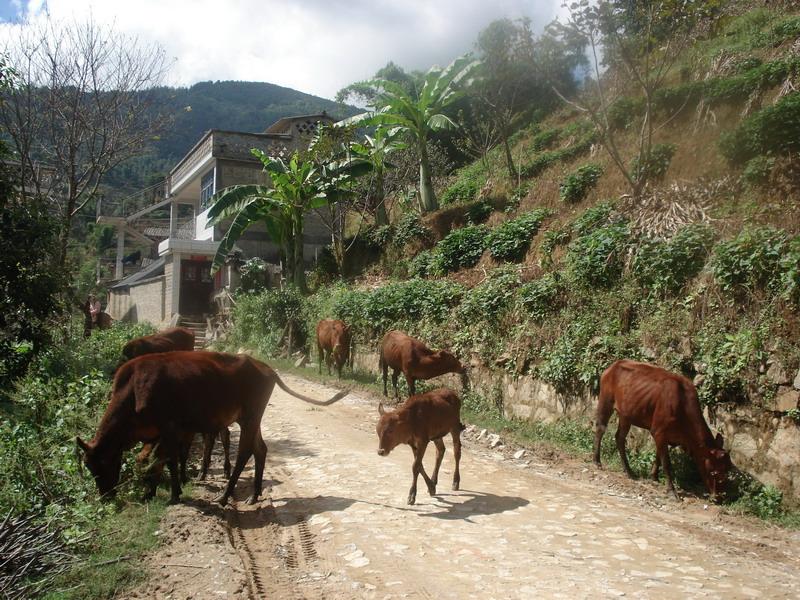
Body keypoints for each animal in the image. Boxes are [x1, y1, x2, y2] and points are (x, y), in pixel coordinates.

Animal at [76, 352, 346, 506]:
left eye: (102, 463)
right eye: (88, 467)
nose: (106, 497)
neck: (134, 391)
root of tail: (265, 368)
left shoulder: (170, 427)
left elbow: (166, 460)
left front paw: (170, 493)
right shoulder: (163, 433)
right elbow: (160, 461)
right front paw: (152, 492)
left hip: (250, 417)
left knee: (245, 452)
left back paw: (226, 496)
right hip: (249, 419)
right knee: (260, 449)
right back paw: (254, 494)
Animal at [592, 360, 732, 496]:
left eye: (727, 469)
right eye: (714, 472)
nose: (718, 497)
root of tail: (614, 365)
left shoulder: (665, 436)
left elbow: (659, 457)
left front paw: (654, 477)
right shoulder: (658, 431)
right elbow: (667, 464)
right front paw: (671, 491)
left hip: (626, 415)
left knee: (620, 437)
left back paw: (628, 471)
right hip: (606, 401)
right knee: (600, 428)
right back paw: (597, 461)